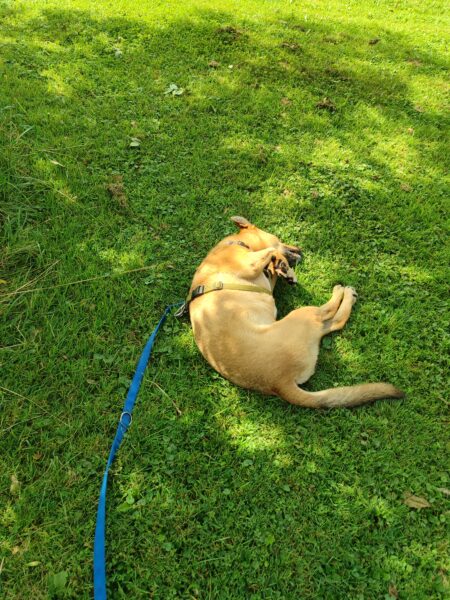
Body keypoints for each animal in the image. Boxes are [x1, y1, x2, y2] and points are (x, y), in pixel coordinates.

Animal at [185, 216, 404, 408]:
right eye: (280, 238)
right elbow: (271, 250)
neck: (238, 243)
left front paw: (284, 270)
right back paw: (343, 292)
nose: (300, 249)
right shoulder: (250, 263)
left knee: (333, 323)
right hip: (303, 314)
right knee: (332, 314)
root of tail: (280, 384)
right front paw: (283, 265)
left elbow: (272, 260)